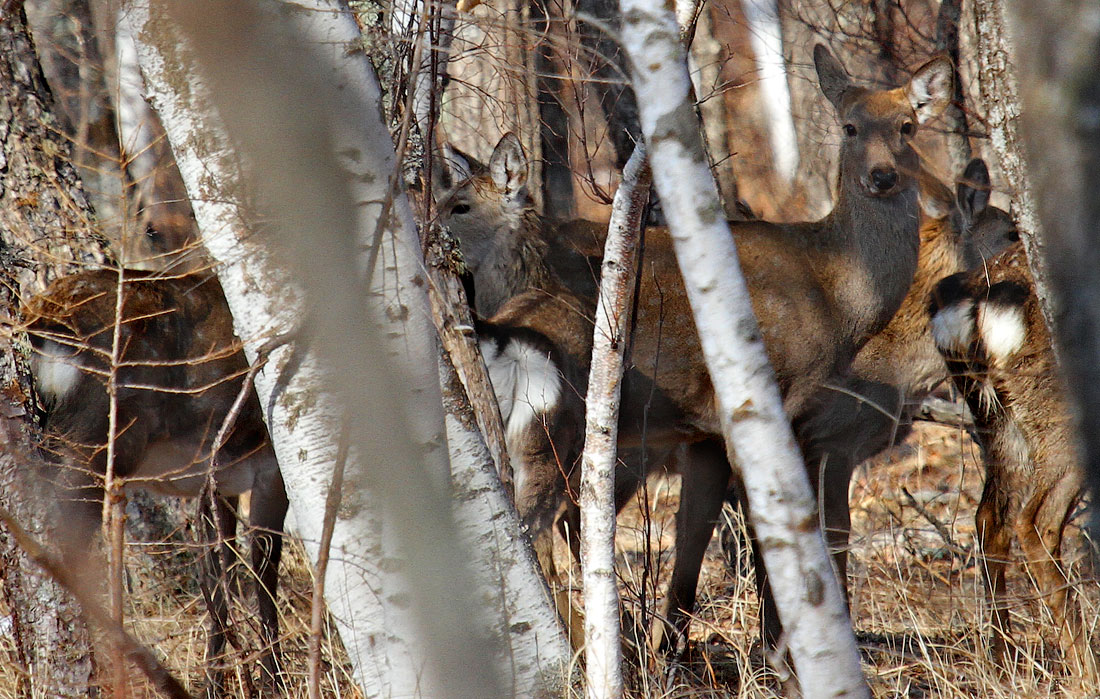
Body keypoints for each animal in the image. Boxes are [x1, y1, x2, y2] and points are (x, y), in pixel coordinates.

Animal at [437, 43, 954, 660]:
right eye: (850, 127)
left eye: (907, 126)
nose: (882, 175)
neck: (833, 289)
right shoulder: (769, 408)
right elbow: (781, 533)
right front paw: (781, 653)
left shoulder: (704, 430)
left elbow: (696, 541)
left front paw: (687, 648)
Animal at [928, 242, 1100, 682]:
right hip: (1061, 418)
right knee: (1036, 521)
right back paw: (1083, 668)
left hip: (998, 422)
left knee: (989, 517)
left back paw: (1003, 660)